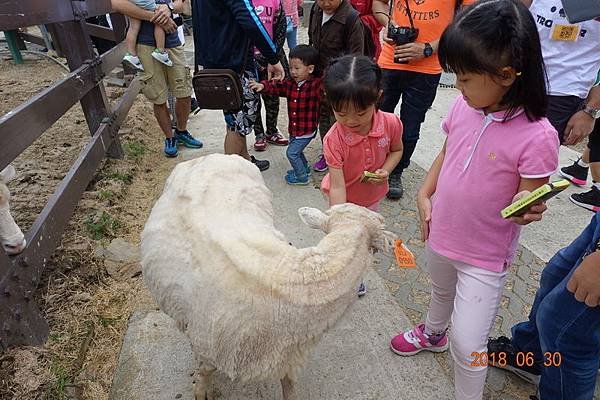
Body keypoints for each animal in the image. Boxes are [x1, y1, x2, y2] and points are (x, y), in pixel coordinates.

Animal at [138, 154, 396, 400]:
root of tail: (209, 156)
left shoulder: (288, 356)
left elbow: (289, 387)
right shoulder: (207, 345)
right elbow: (205, 371)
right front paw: (203, 391)